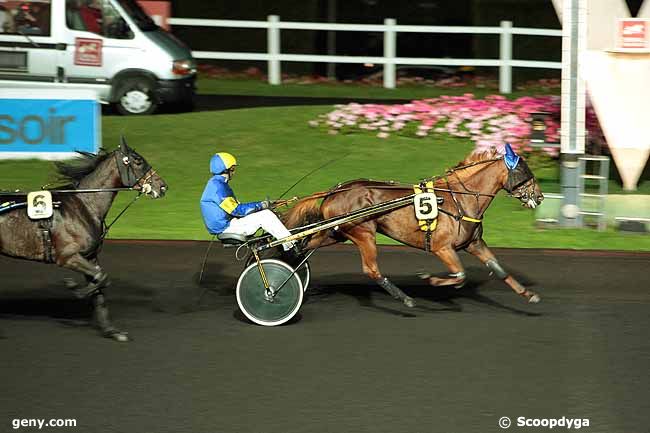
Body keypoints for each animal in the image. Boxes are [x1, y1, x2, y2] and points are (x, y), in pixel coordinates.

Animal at [0, 138, 167, 340]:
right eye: (138, 161)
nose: (162, 186)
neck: (84, 205)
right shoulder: (67, 256)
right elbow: (101, 278)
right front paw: (75, 288)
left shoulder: (90, 256)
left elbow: (100, 283)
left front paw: (112, 331)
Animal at [282, 145, 540, 308]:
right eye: (525, 173)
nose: (539, 197)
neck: (460, 198)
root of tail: (333, 191)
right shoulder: (442, 248)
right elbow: (460, 275)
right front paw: (429, 278)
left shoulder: (474, 243)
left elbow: (499, 269)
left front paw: (528, 294)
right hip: (363, 233)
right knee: (371, 269)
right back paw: (405, 298)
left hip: (336, 233)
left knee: (303, 246)